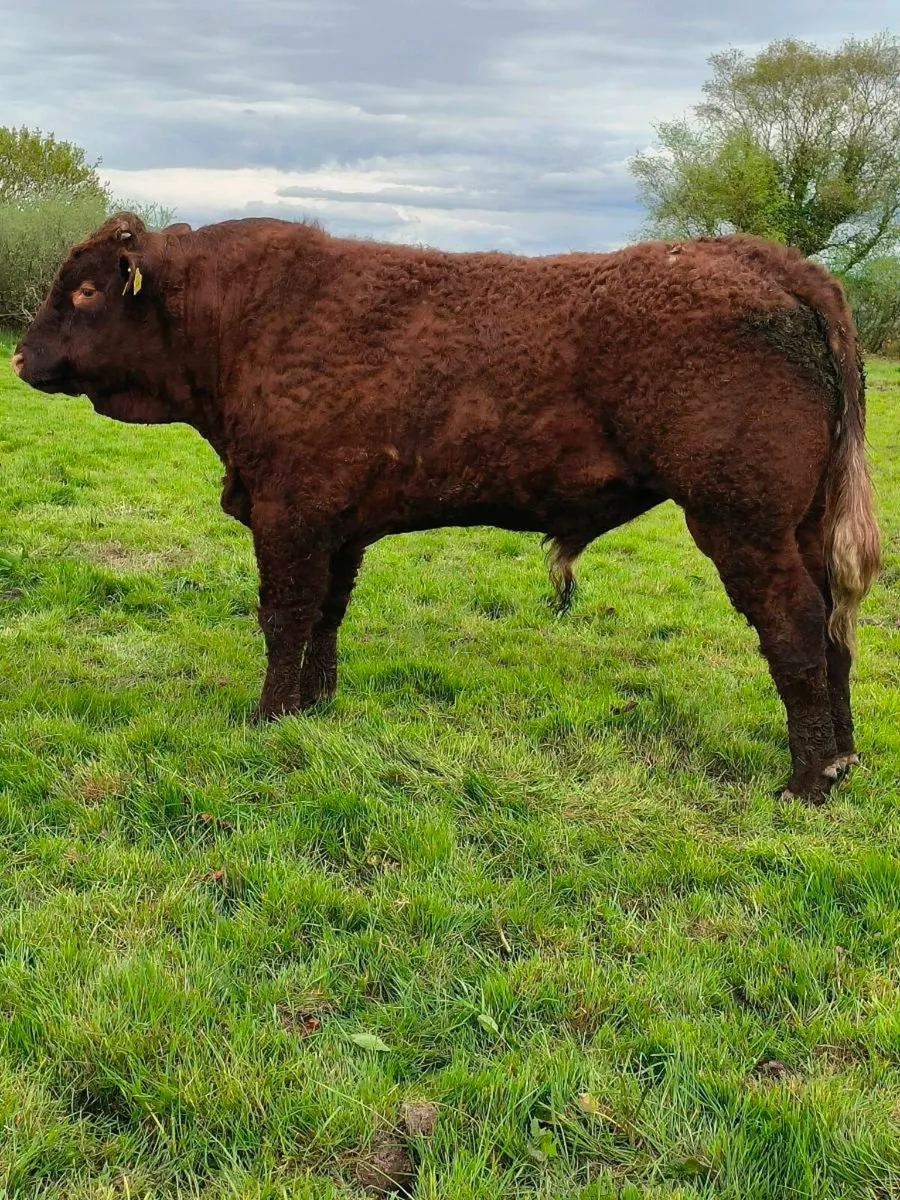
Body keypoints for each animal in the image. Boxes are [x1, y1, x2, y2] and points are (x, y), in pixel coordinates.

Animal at [11, 212, 880, 802]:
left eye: (83, 289)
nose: (19, 356)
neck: (243, 324)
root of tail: (767, 257)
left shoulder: (289, 514)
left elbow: (283, 616)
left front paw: (267, 717)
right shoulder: (338, 524)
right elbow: (326, 616)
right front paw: (314, 707)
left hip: (741, 522)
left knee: (796, 626)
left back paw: (805, 780)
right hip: (801, 524)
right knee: (836, 626)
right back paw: (843, 759)